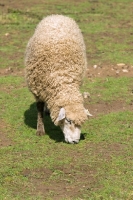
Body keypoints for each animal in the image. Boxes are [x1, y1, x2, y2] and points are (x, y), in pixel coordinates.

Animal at [24, 14, 91, 144]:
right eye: (68, 121)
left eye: (81, 124)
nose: (75, 141)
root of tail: (57, 16)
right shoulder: (37, 89)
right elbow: (39, 109)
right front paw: (40, 130)